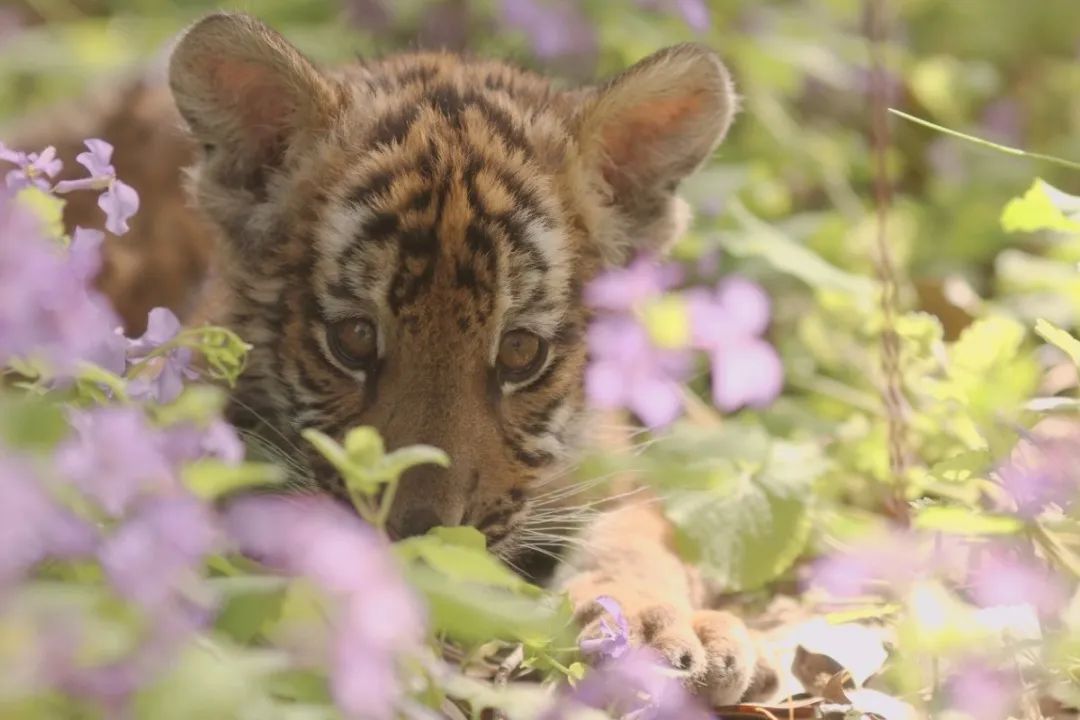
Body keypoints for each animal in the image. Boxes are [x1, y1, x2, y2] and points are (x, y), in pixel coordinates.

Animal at [11, 12, 779, 707]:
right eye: (353, 339)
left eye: (520, 352)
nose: (418, 531)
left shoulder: (614, 468)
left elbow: (641, 534)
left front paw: (659, 628)